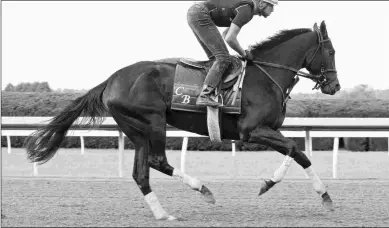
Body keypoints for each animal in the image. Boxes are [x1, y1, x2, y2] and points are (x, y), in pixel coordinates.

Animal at [24, 20, 340, 220]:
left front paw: (326, 197)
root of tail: (111, 80)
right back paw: (204, 190)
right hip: (152, 122)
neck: (265, 77)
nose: (334, 86)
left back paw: (163, 214)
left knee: (141, 173)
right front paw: (268, 184)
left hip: (135, 130)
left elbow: (300, 154)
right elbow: (295, 149)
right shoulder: (252, 131)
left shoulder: (268, 130)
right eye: (331, 51)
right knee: (157, 161)